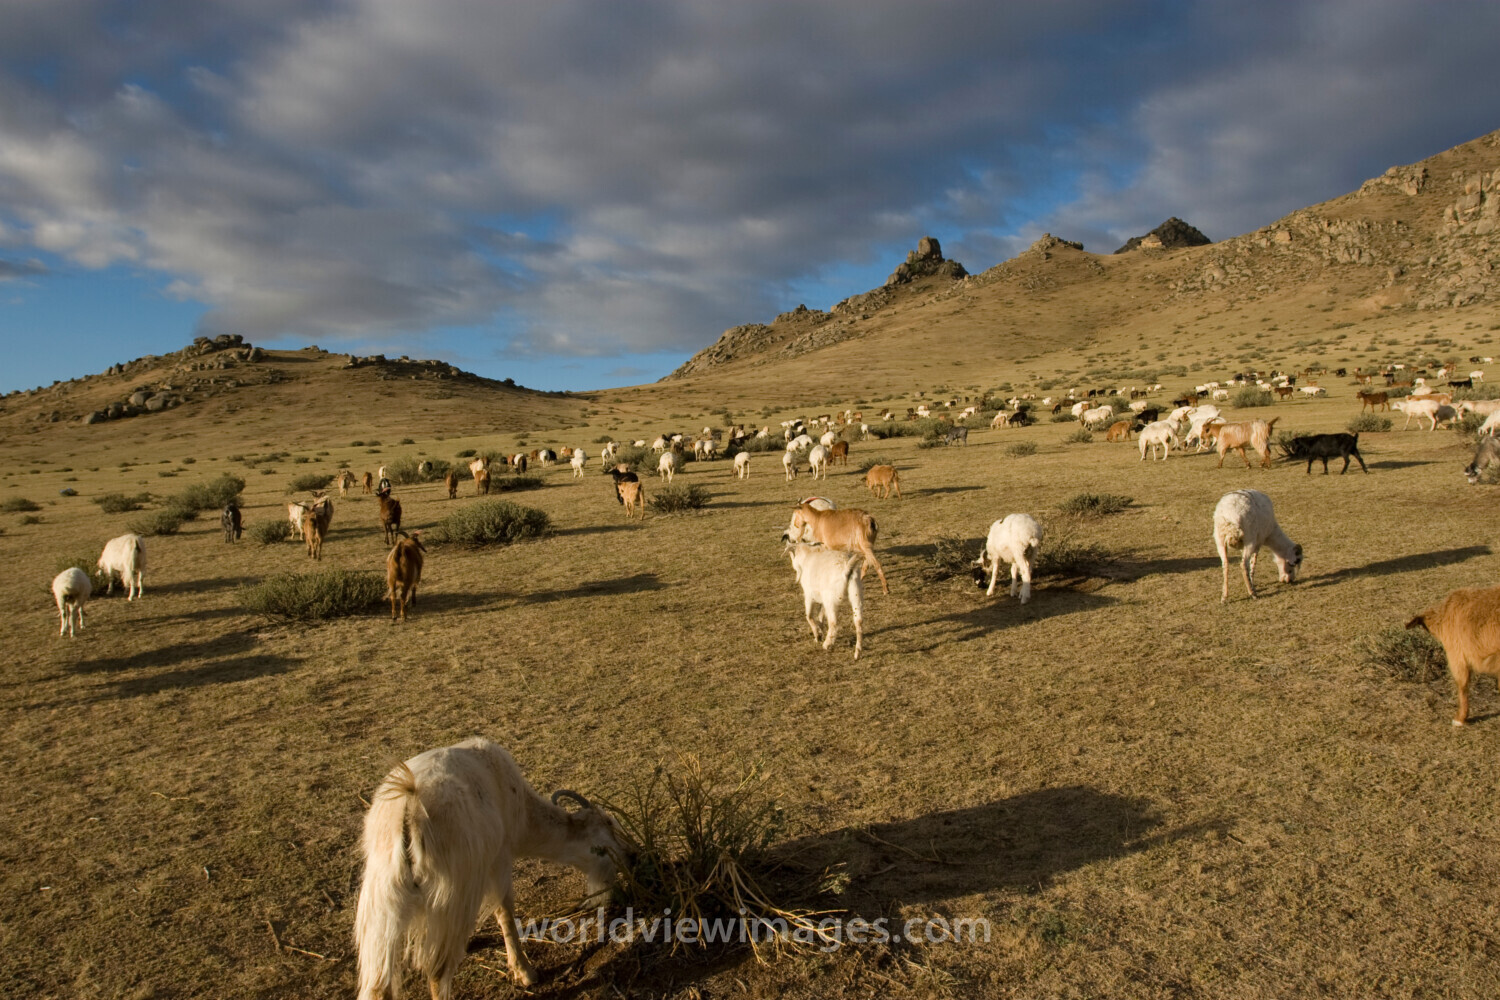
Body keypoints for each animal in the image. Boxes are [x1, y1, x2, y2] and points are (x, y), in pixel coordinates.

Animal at [354, 738, 624, 996]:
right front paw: (524, 972)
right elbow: (504, 912)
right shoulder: (499, 860)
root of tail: (409, 807)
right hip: (450, 893)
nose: (630, 856)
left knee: (379, 985)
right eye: (609, 825)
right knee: (437, 974)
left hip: (382, 903)